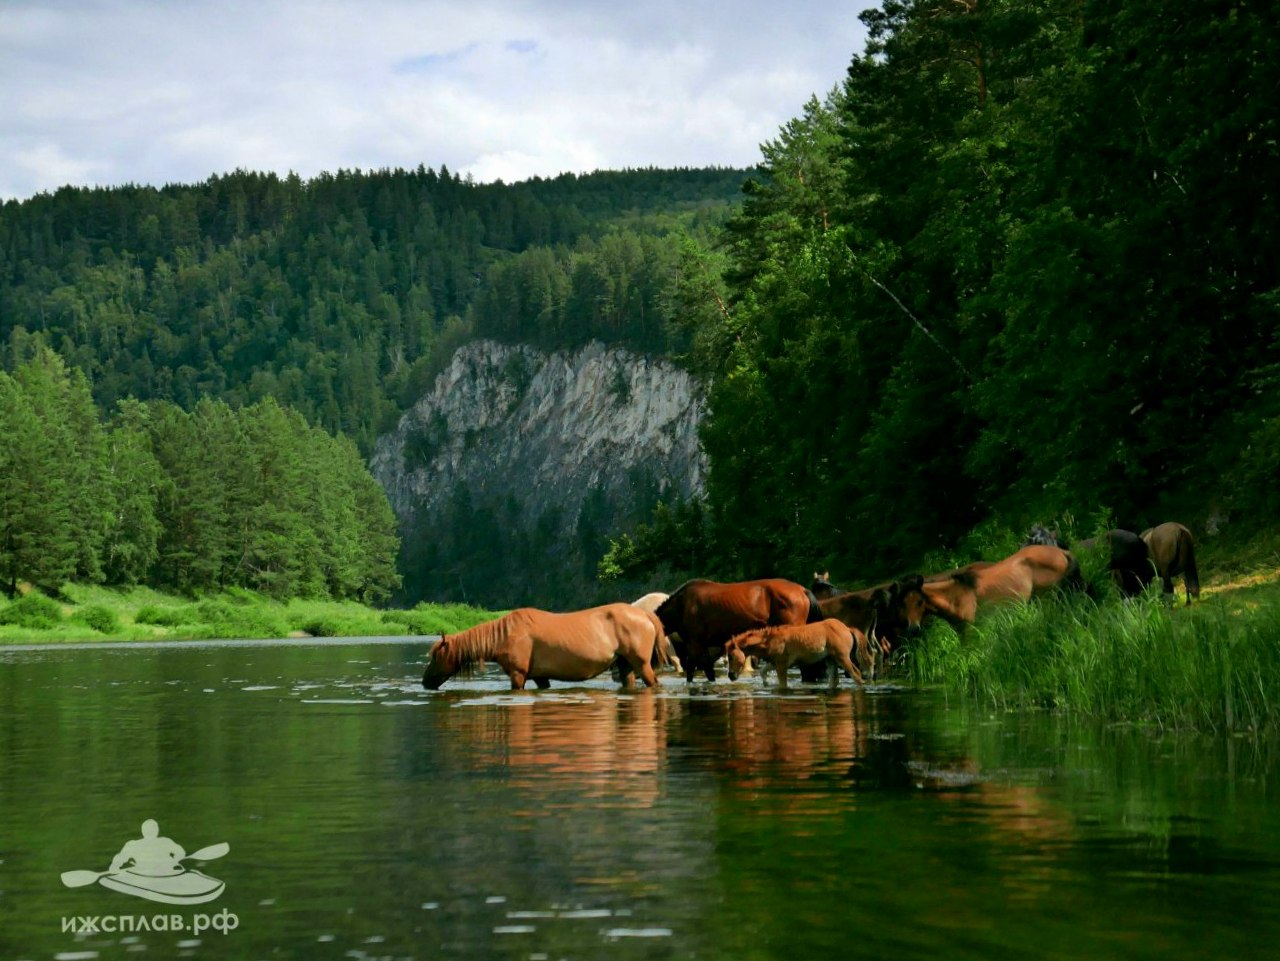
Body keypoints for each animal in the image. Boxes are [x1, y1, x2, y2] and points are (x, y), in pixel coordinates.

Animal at [422, 601, 670, 690]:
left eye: (435, 657)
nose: (425, 682)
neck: (506, 634)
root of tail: (645, 615)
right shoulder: (540, 677)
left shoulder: (518, 675)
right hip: (625, 665)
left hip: (641, 664)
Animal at [727, 624, 865, 690]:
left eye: (731, 656)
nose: (731, 676)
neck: (770, 640)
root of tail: (847, 628)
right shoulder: (775, 663)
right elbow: (762, 671)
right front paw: (766, 683)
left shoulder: (781, 666)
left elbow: (783, 685)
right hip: (831, 660)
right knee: (834, 681)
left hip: (843, 658)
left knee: (856, 675)